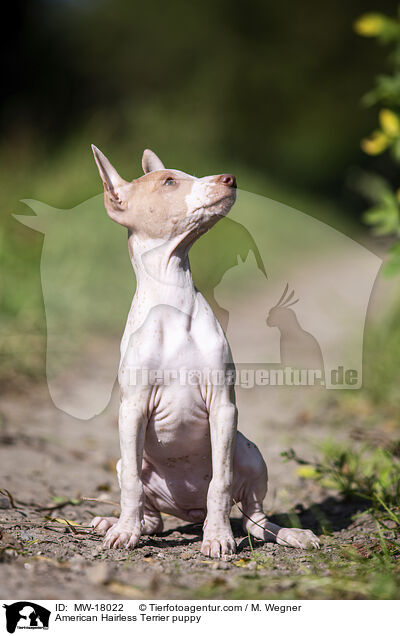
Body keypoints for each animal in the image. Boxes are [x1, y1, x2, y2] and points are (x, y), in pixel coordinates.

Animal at [90, 148, 318, 556]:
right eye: (169, 182)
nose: (230, 178)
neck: (173, 297)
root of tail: (187, 510)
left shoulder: (224, 407)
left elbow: (220, 483)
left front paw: (218, 538)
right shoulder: (131, 410)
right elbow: (131, 483)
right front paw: (124, 532)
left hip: (250, 453)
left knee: (254, 519)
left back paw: (288, 533)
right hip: (130, 460)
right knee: (150, 513)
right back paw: (114, 522)